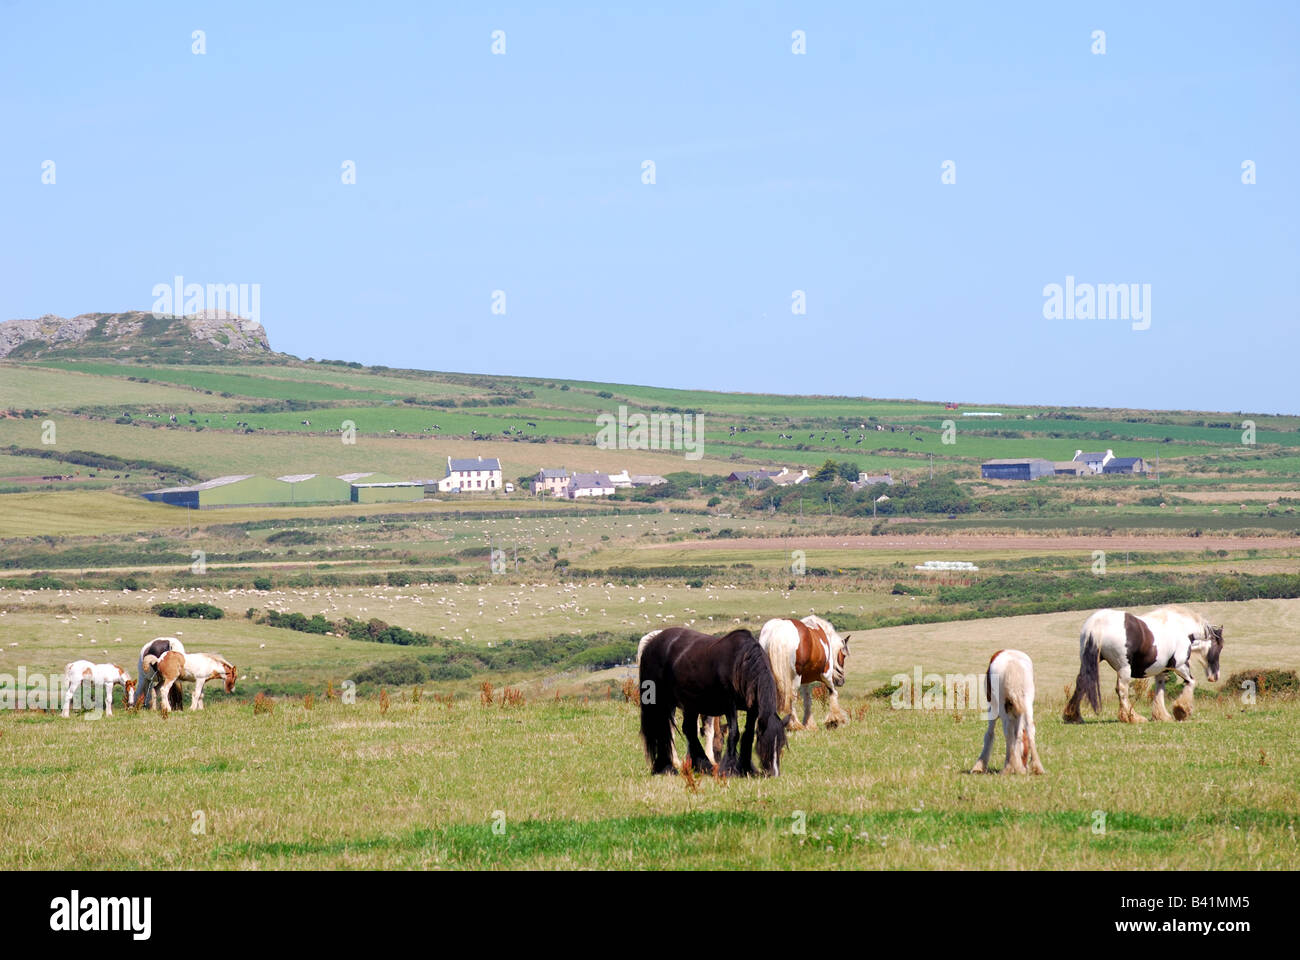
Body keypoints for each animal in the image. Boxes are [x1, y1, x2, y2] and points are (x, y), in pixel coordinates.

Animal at [638, 627, 787, 777]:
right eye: (766, 744)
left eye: (781, 744)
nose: (774, 773)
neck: (741, 662)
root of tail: (651, 643)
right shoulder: (730, 706)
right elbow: (734, 733)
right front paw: (730, 769)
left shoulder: (753, 710)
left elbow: (748, 735)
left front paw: (746, 769)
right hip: (662, 703)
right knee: (664, 731)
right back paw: (667, 767)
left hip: (690, 705)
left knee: (689, 730)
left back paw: (702, 765)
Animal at [1063, 606, 1223, 724]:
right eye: (1219, 647)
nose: (1215, 676)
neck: (1181, 628)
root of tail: (1097, 623)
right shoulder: (1180, 666)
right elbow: (1191, 682)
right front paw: (1181, 710)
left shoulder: (1162, 671)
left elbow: (1160, 690)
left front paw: (1162, 715)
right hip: (1124, 669)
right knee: (1122, 690)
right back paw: (1132, 717)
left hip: (1089, 663)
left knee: (1081, 683)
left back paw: (1073, 716)